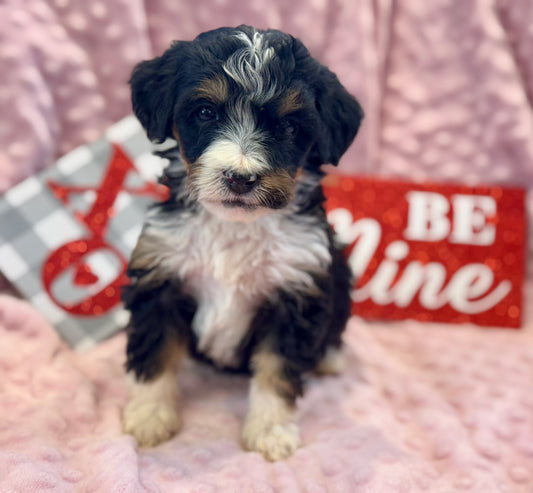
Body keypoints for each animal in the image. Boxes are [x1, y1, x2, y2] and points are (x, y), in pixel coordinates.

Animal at [121, 25, 362, 460]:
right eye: (205, 113)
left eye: (289, 127)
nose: (240, 178)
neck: (234, 225)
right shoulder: (160, 274)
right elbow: (155, 351)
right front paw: (149, 417)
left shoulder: (296, 290)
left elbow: (276, 369)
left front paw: (271, 432)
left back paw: (330, 359)